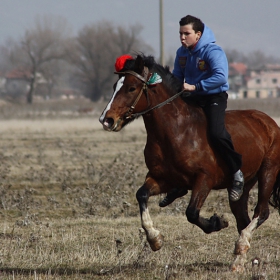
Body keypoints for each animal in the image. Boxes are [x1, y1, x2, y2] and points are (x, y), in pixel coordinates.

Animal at [99, 54, 280, 272]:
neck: (176, 131)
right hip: (243, 188)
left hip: (268, 173)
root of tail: (269, 122)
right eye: (115, 86)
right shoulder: (161, 178)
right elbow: (141, 195)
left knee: (261, 212)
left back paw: (242, 245)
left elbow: (191, 213)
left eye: (131, 88)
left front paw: (217, 222)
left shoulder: (204, 179)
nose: (106, 120)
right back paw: (241, 259)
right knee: (242, 218)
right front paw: (154, 239)